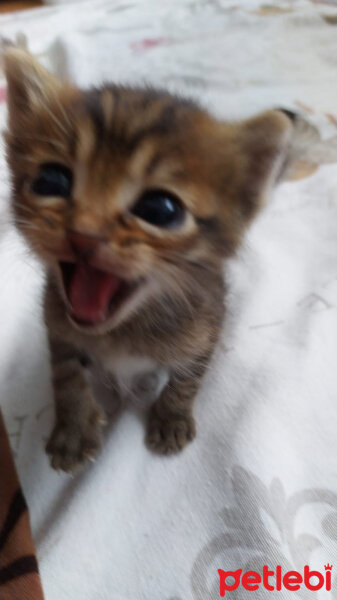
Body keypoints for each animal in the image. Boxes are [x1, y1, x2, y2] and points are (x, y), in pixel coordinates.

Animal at [2, 49, 292, 472]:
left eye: (160, 209)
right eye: (51, 181)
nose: (83, 233)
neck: (121, 331)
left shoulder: (206, 324)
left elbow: (189, 376)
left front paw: (171, 418)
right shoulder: (56, 320)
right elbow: (64, 371)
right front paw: (73, 429)